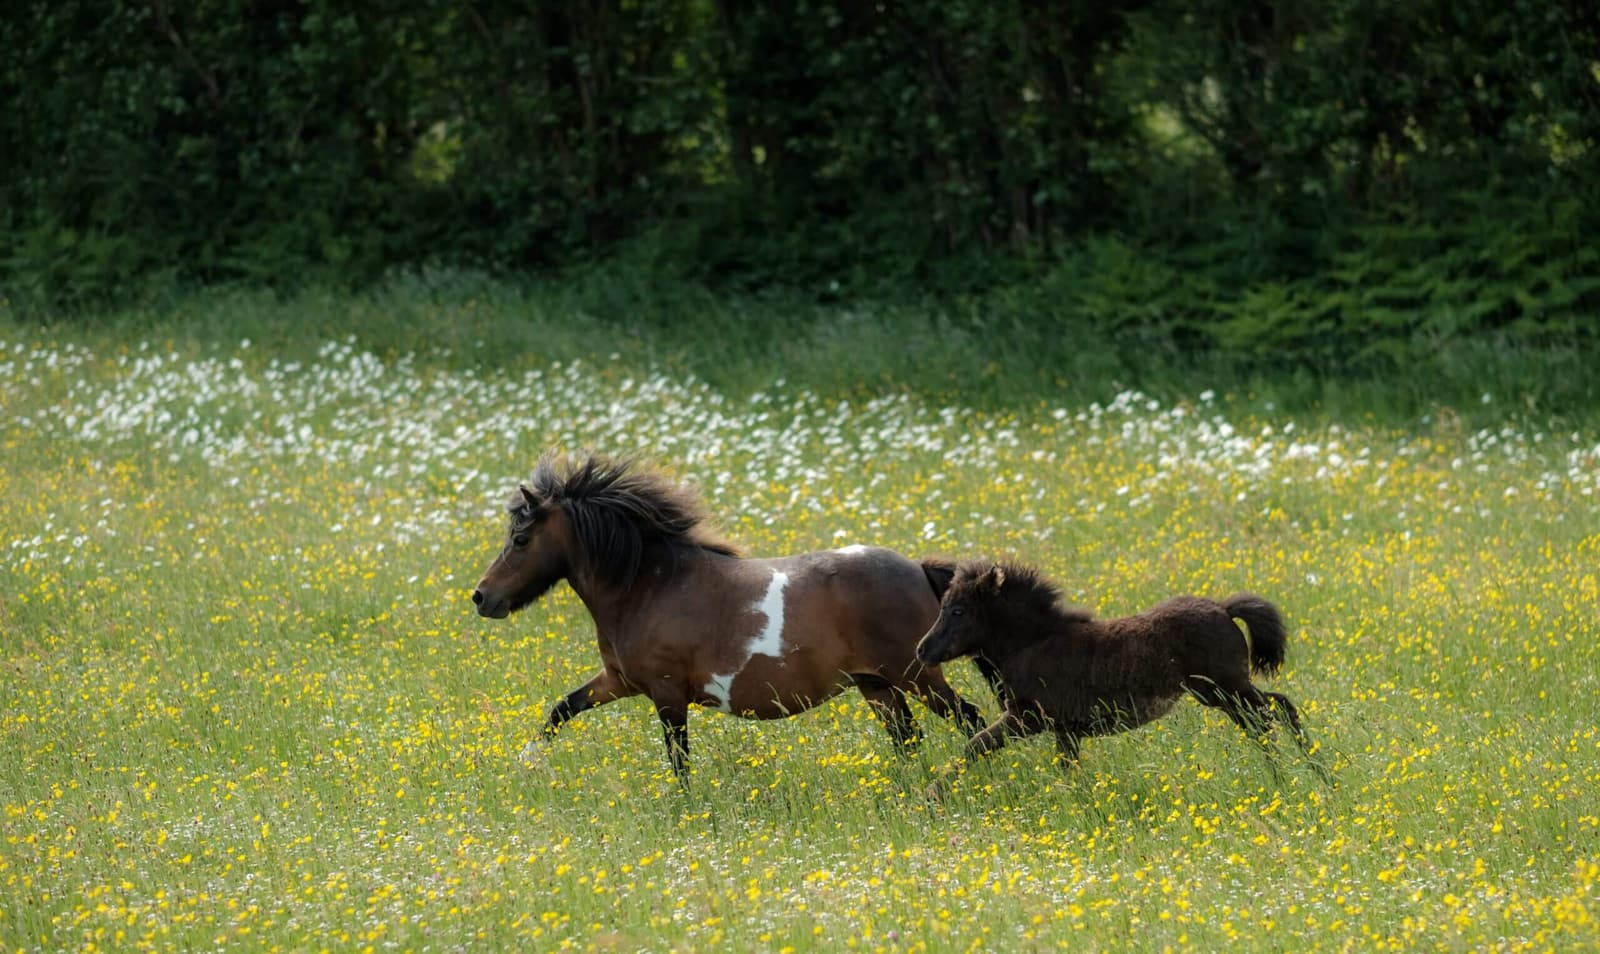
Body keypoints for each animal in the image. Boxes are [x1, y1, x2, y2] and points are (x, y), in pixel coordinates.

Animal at [470, 453, 988, 778]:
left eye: (520, 539)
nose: (481, 597)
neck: (651, 586)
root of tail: (918, 570)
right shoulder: (620, 681)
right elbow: (562, 708)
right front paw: (525, 762)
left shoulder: (666, 693)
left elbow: (679, 760)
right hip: (875, 684)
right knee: (908, 737)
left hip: (915, 675)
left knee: (969, 718)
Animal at [916, 560, 1319, 777]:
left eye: (958, 610)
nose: (922, 650)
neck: (1034, 642)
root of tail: (1222, 608)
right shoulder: (1065, 730)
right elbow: (1068, 769)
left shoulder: (1027, 719)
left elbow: (975, 745)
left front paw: (933, 796)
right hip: (1223, 692)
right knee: (1273, 710)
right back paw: (1310, 769)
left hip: (1224, 688)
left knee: (1270, 715)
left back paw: (1291, 773)